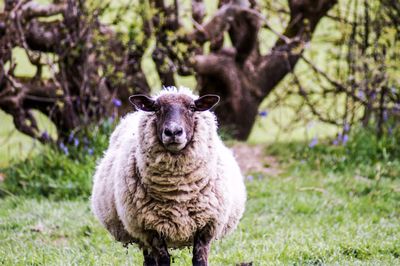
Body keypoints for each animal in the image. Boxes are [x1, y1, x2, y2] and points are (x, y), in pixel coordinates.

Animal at [91, 87, 247, 266]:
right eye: (156, 108)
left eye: (192, 108)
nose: (173, 132)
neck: (178, 191)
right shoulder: (151, 229)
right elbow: (163, 259)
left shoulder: (206, 226)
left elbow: (199, 259)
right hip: (140, 233)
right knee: (149, 260)